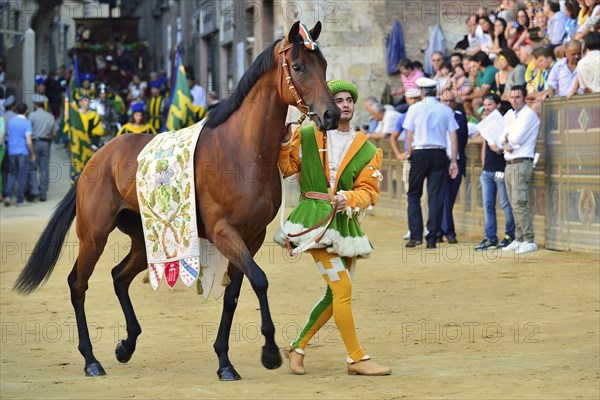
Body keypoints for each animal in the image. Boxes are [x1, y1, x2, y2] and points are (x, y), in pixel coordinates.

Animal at [14, 21, 340, 382]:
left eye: (323, 65)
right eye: (297, 66)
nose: (332, 114)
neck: (240, 149)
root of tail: (98, 157)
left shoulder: (251, 237)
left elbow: (234, 293)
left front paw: (224, 360)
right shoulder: (224, 232)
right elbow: (259, 280)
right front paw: (268, 352)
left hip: (145, 239)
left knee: (118, 276)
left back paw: (126, 344)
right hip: (94, 235)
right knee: (78, 283)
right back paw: (90, 358)